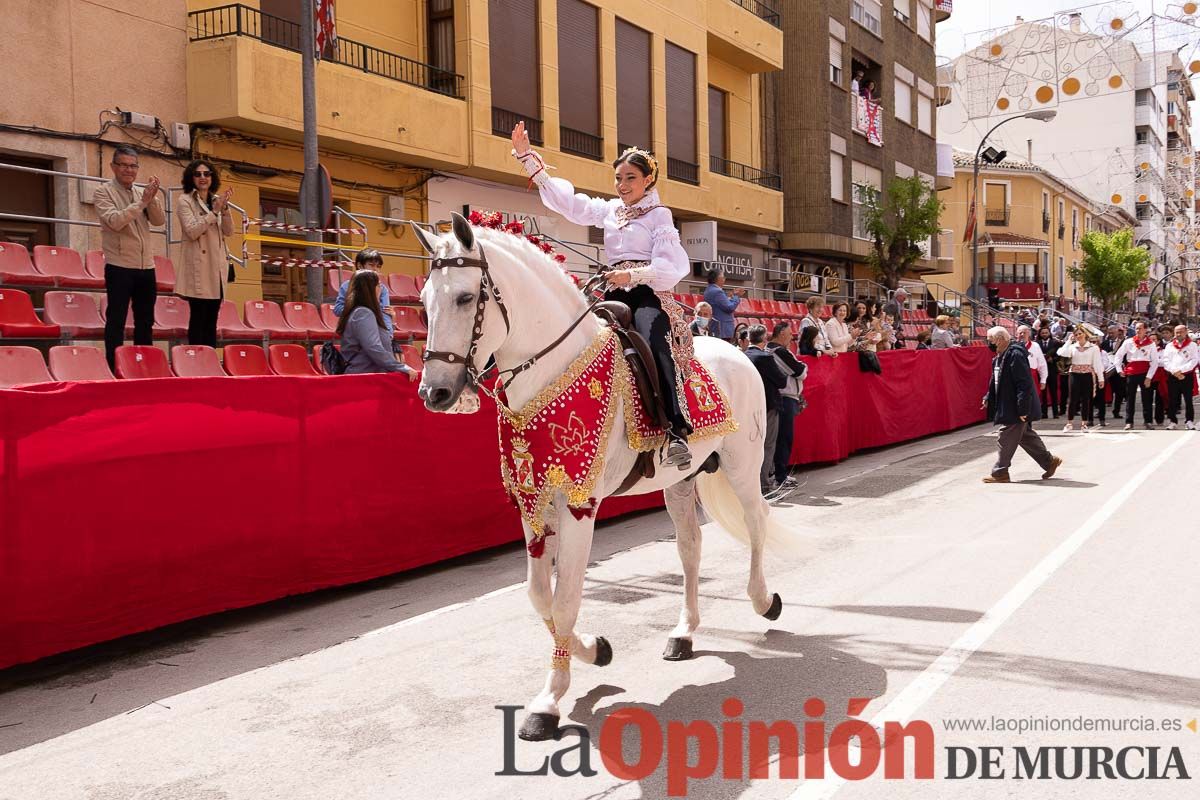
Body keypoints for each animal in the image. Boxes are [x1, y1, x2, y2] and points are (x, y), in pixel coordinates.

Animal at [412, 215, 796, 743]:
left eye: (466, 298)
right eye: (424, 299)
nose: (435, 393)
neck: (549, 370)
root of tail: (737, 350)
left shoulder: (579, 505)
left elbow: (566, 597)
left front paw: (549, 702)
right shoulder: (533, 504)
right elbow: (540, 596)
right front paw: (594, 650)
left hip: (742, 463)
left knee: (757, 522)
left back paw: (763, 601)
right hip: (680, 481)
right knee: (690, 547)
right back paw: (683, 633)